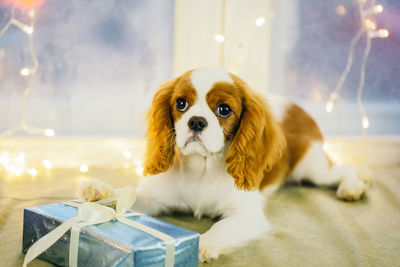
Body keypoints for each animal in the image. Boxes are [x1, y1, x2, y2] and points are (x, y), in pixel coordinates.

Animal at [80, 67, 368, 264]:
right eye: (181, 104)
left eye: (224, 110)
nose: (196, 121)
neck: (202, 168)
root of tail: (299, 107)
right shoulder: (154, 199)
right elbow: (127, 196)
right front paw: (101, 190)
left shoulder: (247, 215)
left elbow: (223, 226)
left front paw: (203, 244)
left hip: (313, 168)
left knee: (344, 169)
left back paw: (354, 186)